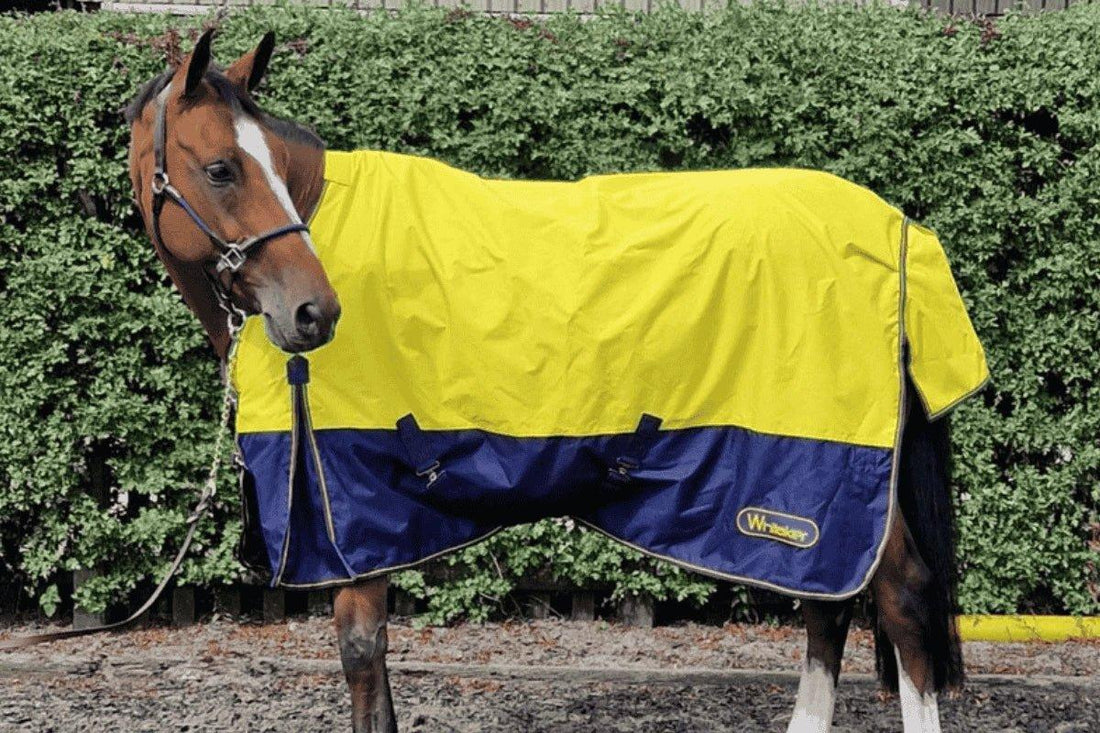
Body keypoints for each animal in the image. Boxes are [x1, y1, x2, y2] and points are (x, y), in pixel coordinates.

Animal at [126, 30, 977, 733]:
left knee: (900, 598)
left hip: (818, 474)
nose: (315, 310)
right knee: (827, 607)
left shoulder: (358, 519)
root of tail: (897, 227)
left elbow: (364, 661)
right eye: (221, 167)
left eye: (262, 165)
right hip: (806, 497)